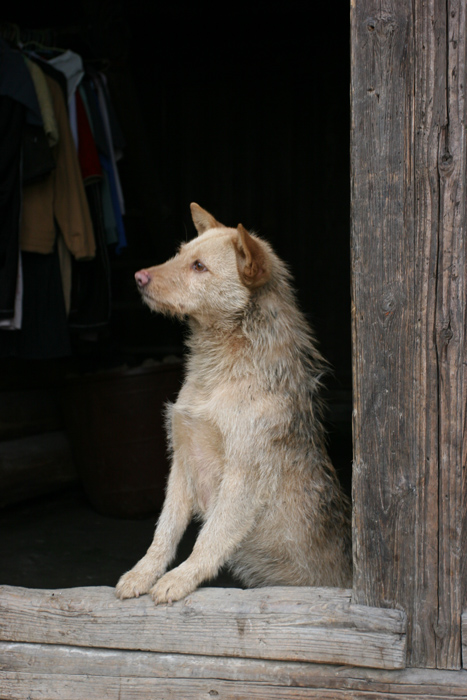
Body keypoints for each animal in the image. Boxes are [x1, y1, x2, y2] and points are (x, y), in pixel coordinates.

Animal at [116, 204, 352, 608]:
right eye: (179, 254)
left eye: (199, 266)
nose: (138, 276)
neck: (218, 371)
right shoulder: (181, 462)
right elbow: (164, 532)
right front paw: (142, 573)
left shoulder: (242, 477)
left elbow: (208, 539)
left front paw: (180, 579)